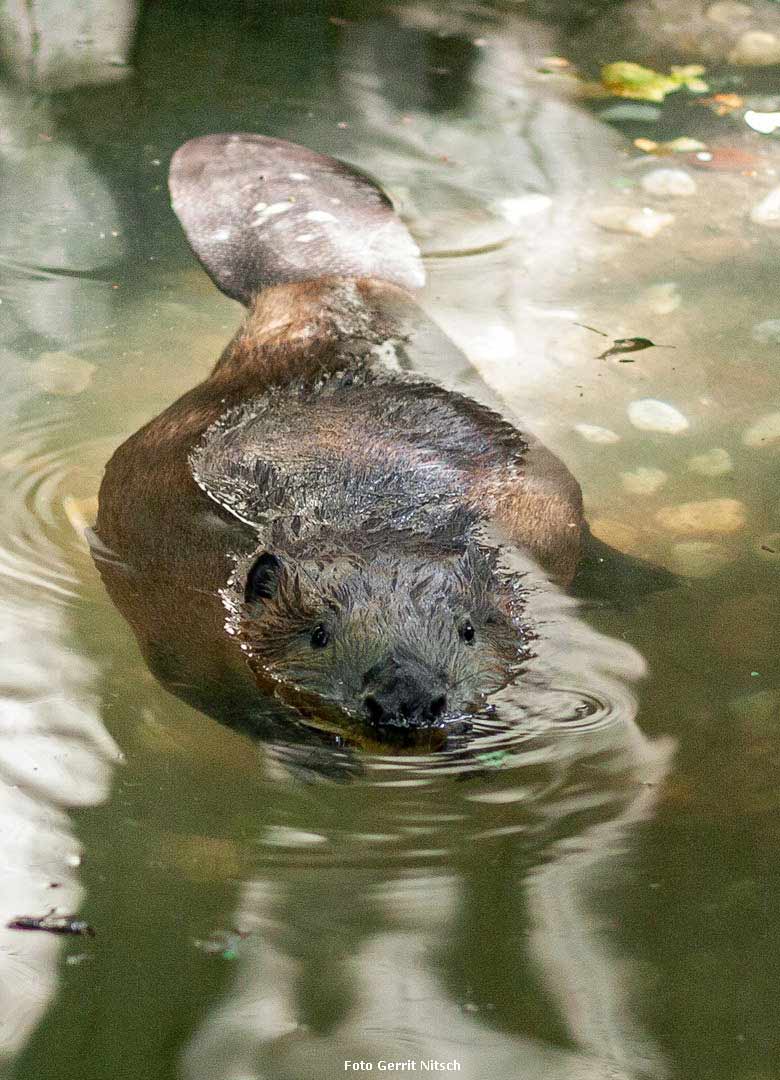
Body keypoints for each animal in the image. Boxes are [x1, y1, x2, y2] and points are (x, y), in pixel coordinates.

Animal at [93, 130, 587, 747]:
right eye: (319, 634)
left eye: (467, 630)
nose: (406, 699)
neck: (375, 526)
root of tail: (309, 278)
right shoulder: (187, 615)